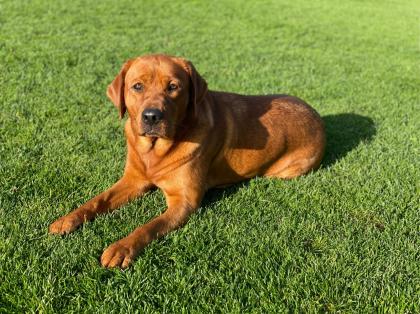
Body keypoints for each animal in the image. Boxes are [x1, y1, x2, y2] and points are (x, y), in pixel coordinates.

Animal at [49, 53, 324, 268]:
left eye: (173, 87)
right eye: (137, 86)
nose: (152, 116)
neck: (155, 152)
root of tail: (317, 115)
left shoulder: (184, 201)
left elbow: (149, 226)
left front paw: (122, 248)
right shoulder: (133, 180)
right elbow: (96, 201)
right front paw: (68, 219)